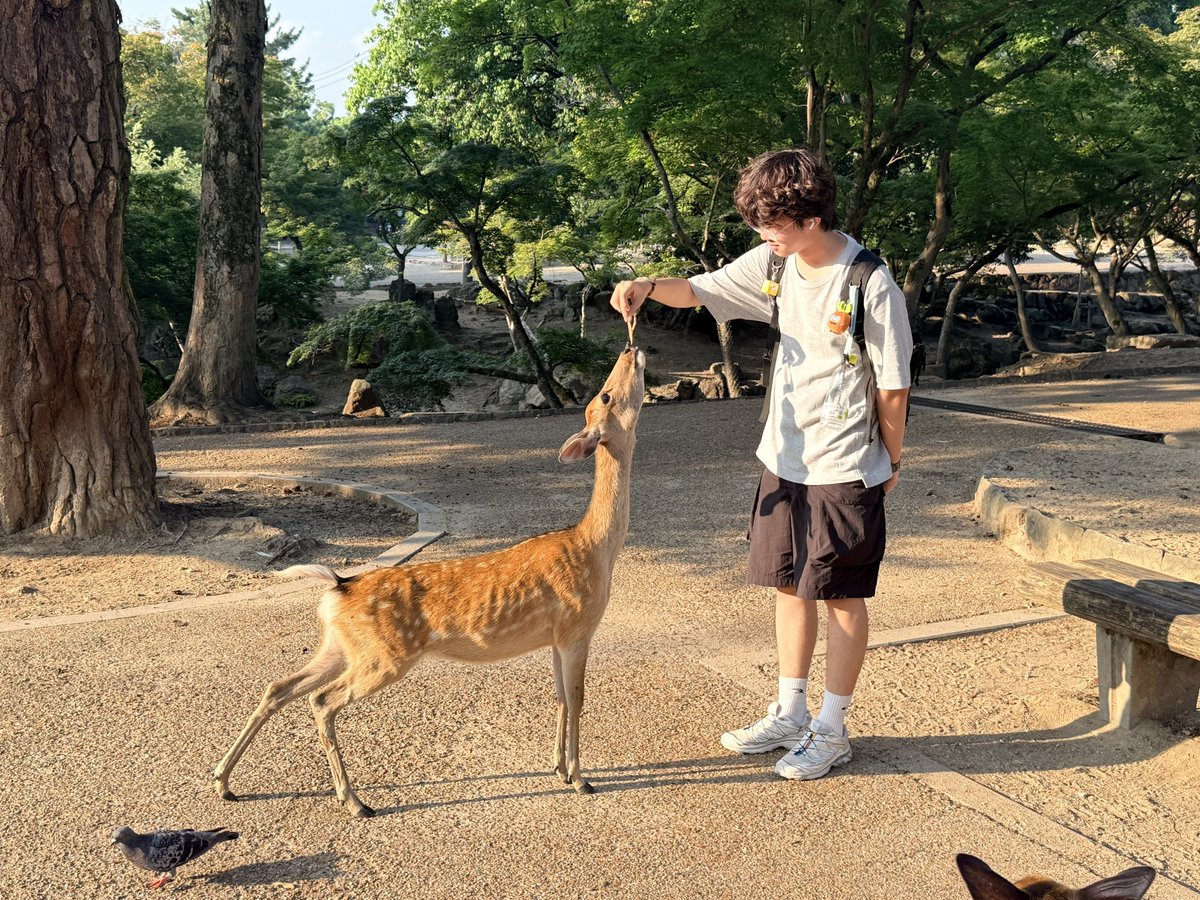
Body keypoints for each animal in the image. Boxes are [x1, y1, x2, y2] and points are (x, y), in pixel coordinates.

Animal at [212, 346, 646, 818]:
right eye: (605, 395)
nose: (631, 349)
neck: (596, 548)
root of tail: (337, 588)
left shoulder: (554, 637)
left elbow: (561, 697)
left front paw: (559, 768)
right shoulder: (576, 627)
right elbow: (579, 697)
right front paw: (582, 779)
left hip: (340, 646)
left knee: (280, 686)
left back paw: (223, 781)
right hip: (384, 655)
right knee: (322, 700)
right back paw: (355, 802)